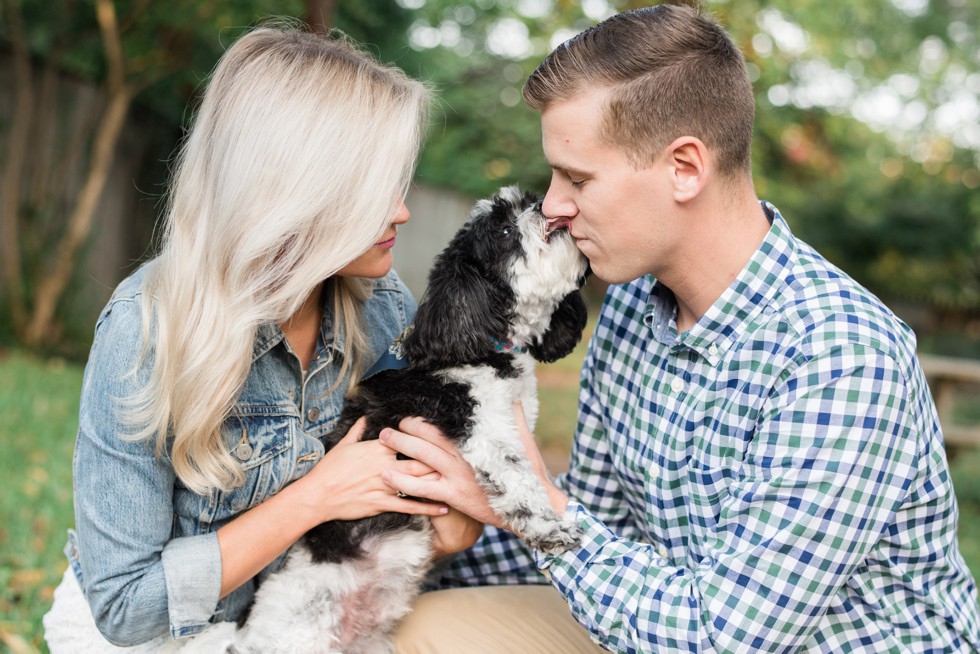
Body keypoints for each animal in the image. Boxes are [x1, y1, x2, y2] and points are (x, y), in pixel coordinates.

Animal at [193, 186, 588, 654]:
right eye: (506, 230)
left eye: (528, 200)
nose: (546, 206)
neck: (478, 347)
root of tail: (247, 637)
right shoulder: (481, 430)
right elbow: (520, 483)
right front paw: (552, 530)